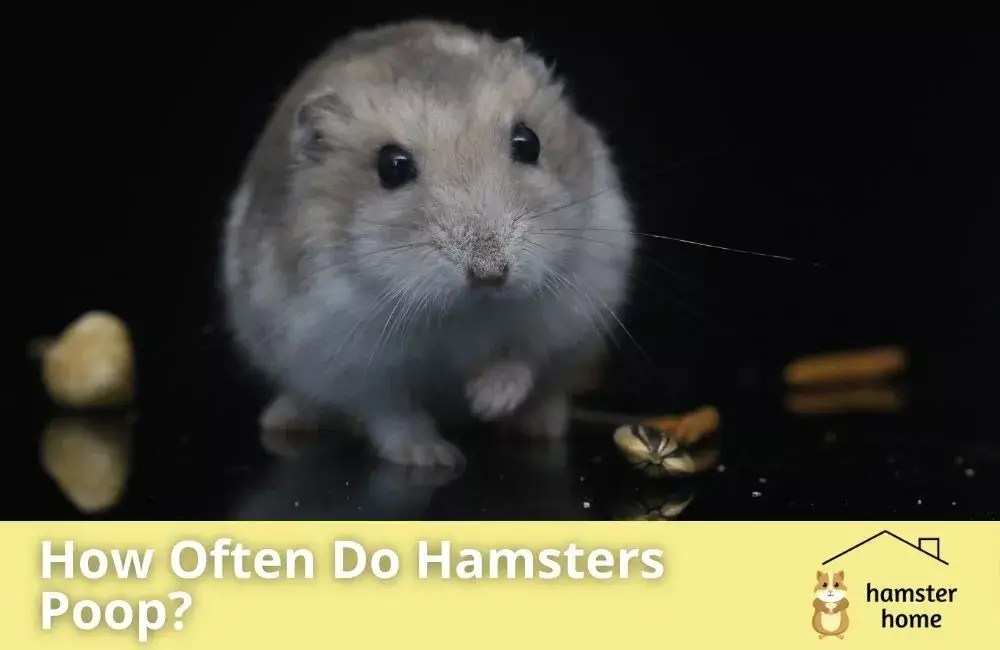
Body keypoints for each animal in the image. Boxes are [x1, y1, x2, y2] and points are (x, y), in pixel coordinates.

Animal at [221, 19, 636, 467]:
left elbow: (522, 357)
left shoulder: (570, 308)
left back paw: (537, 427)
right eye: (391, 166)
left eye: (529, 142)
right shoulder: (348, 357)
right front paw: (436, 458)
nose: (491, 275)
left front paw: (484, 401)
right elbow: (392, 412)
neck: (465, 311)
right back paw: (283, 419)